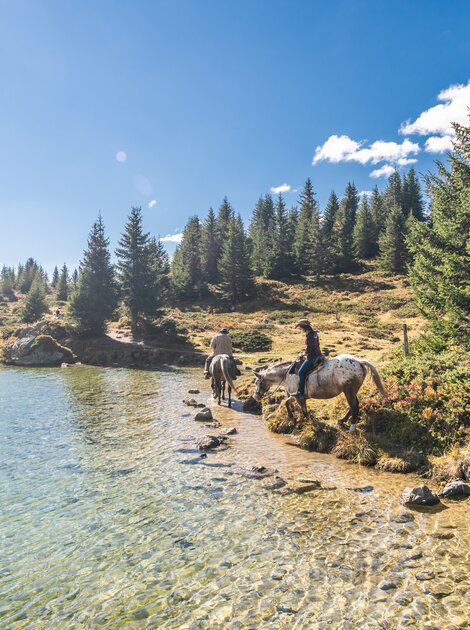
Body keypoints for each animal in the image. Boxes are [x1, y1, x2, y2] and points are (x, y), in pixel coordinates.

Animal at [253, 356, 386, 434]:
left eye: (257, 382)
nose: (256, 396)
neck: (287, 374)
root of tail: (359, 362)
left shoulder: (298, 397)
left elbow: (303, 411)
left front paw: (305, 423)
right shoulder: (295, 397)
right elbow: (286, 402)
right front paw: (294, 419)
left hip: (349, 390)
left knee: (354, 407)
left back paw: (352, 428)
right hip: (351, 391)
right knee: (354, 405)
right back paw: (341, 420)